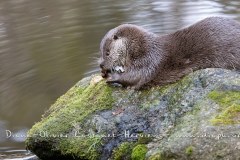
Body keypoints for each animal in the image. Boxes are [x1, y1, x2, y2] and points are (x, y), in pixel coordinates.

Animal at [98, 17, 240, 90]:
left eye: (107, 53)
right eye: (101, 52)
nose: (101, 65)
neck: (141, 48)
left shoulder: (149, 61)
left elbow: (136, 77)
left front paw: (112, 76)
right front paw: (104, 73)